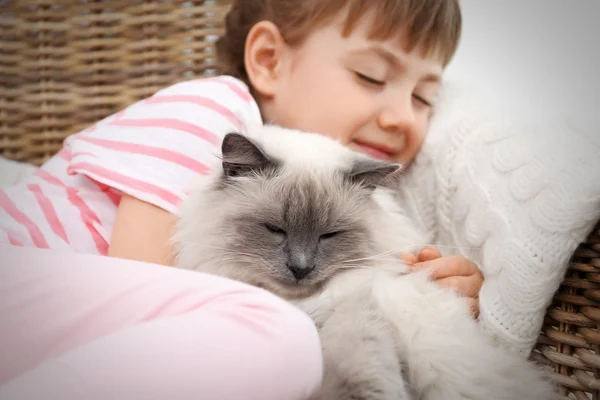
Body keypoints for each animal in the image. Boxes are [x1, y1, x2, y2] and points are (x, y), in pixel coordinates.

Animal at [171, 126, 560, 400]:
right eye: (275, 230)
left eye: (329, 235)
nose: (300, 268)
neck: (305, 307)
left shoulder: (360, 316)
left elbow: (363, 375)